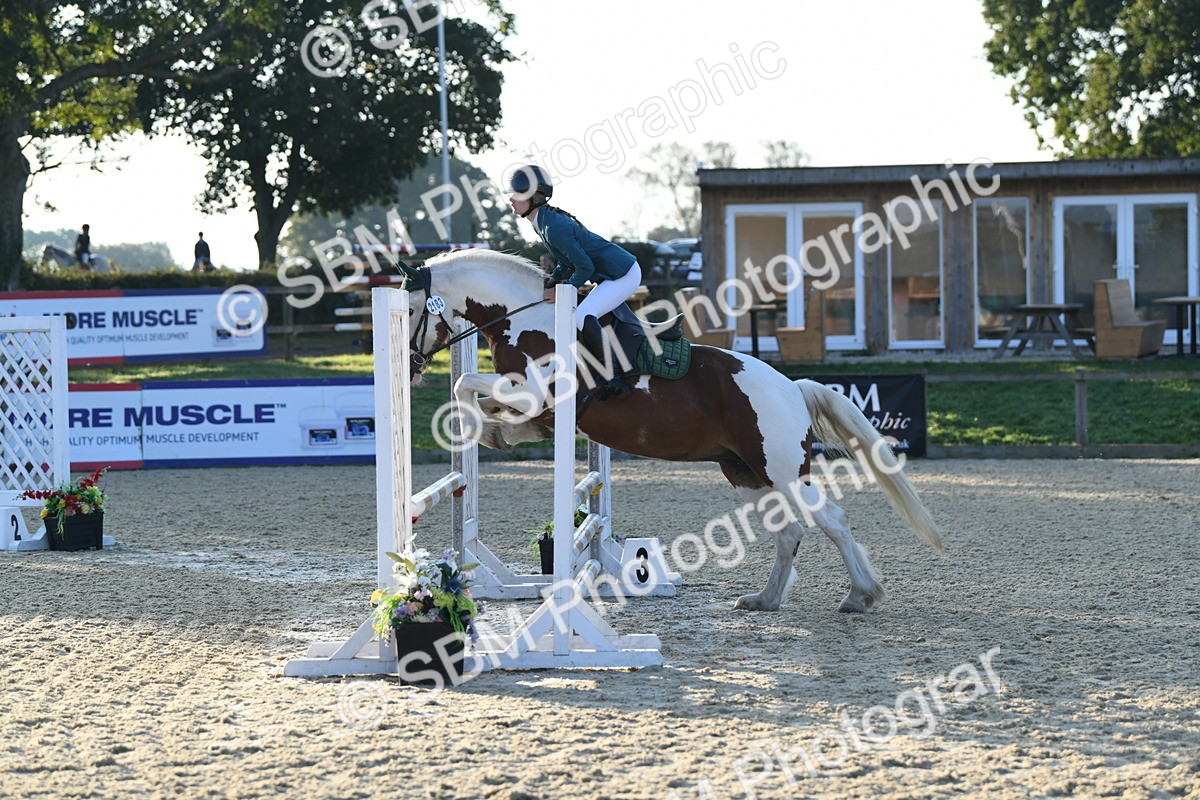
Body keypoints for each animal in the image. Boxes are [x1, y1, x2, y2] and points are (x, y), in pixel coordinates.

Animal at [400, 249, 943, 613]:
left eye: (408, 311)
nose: (409, 370)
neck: (526, 321)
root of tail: (791, 387)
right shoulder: (542, 407)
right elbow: (491, 404)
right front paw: (492, 434)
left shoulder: (536, 391)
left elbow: (468, 384)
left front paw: (475, 426)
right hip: (746, 473)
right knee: (789, 532)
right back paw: (764, 599)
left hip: (785, 472)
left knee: (832, 520)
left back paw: (860, 596)